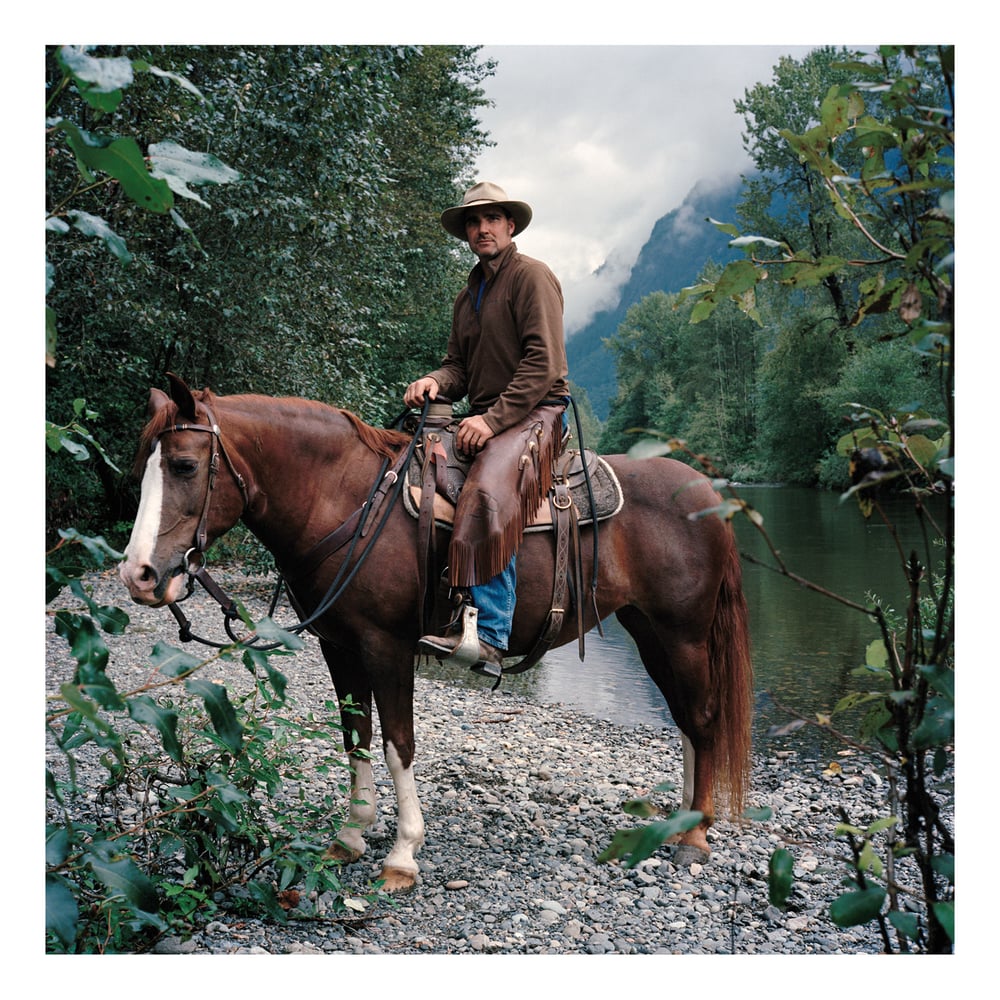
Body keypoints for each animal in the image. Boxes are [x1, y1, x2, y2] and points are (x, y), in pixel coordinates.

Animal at [119, 376, 752, 892]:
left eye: (184, 465)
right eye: (139, 467)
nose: (139, 575)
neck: (348, 502)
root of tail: (706, 490)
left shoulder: (386, 646)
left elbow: (399, 743)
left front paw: (402, 855)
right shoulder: (338, 646)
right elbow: (356, 737)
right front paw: (350, 838)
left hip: (684, 634)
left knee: (702, 719)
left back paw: (696, 838)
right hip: (650, 632)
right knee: (686, 720)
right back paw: (681, 823)